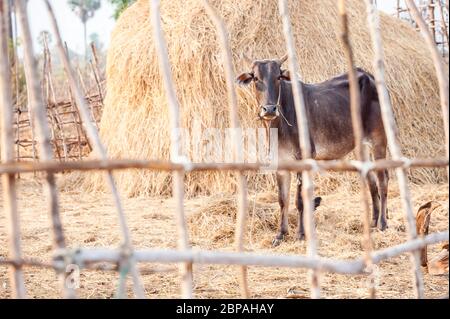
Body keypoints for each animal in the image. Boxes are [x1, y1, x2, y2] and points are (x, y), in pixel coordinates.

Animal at [237, 55, 388, 246]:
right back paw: (374, 222)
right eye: (256, 78)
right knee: (372, 181)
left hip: (379, 140)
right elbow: (282, 200)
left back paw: (383, 223)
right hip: (361, 146)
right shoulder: (280, 163)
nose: (269, 109)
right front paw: (280, 234)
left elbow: (300, 200)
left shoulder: (305, 158)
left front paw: (301, 234)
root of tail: (369, 76)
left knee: (383, 179)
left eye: (278, 77)